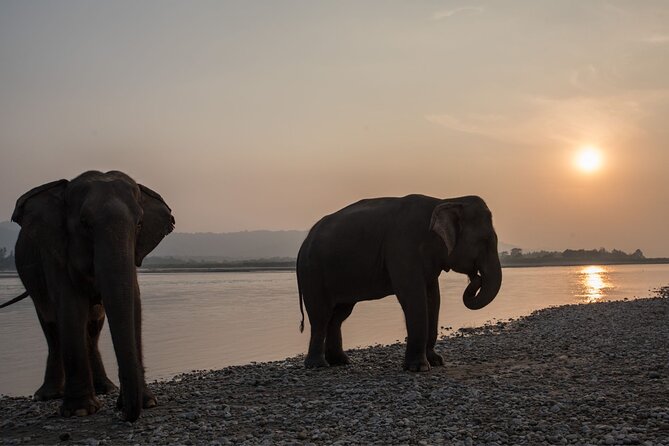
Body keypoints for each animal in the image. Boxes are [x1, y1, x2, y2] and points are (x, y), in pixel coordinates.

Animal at [4, 170, 174, 421]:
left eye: (139, 224)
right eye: (85, 224)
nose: (124, 413)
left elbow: (134, 305)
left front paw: (148, 403)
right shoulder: (55, 254)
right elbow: (71, 308)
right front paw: (80, 411)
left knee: (93, 325)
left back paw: (105, 389)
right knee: (51, 326)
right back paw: (48, 395)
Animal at [296, 194, 502, 372]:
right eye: (484, 241)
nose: (476, 277)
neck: (446, 200)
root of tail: (304, 242)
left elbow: (433, 298)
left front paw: (436, 361)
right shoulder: (403, 248)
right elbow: (413, 296)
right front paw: (419, 368)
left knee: (339, 315)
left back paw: (341, 361)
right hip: (313, 272)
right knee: (321, 316)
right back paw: (318, 365)